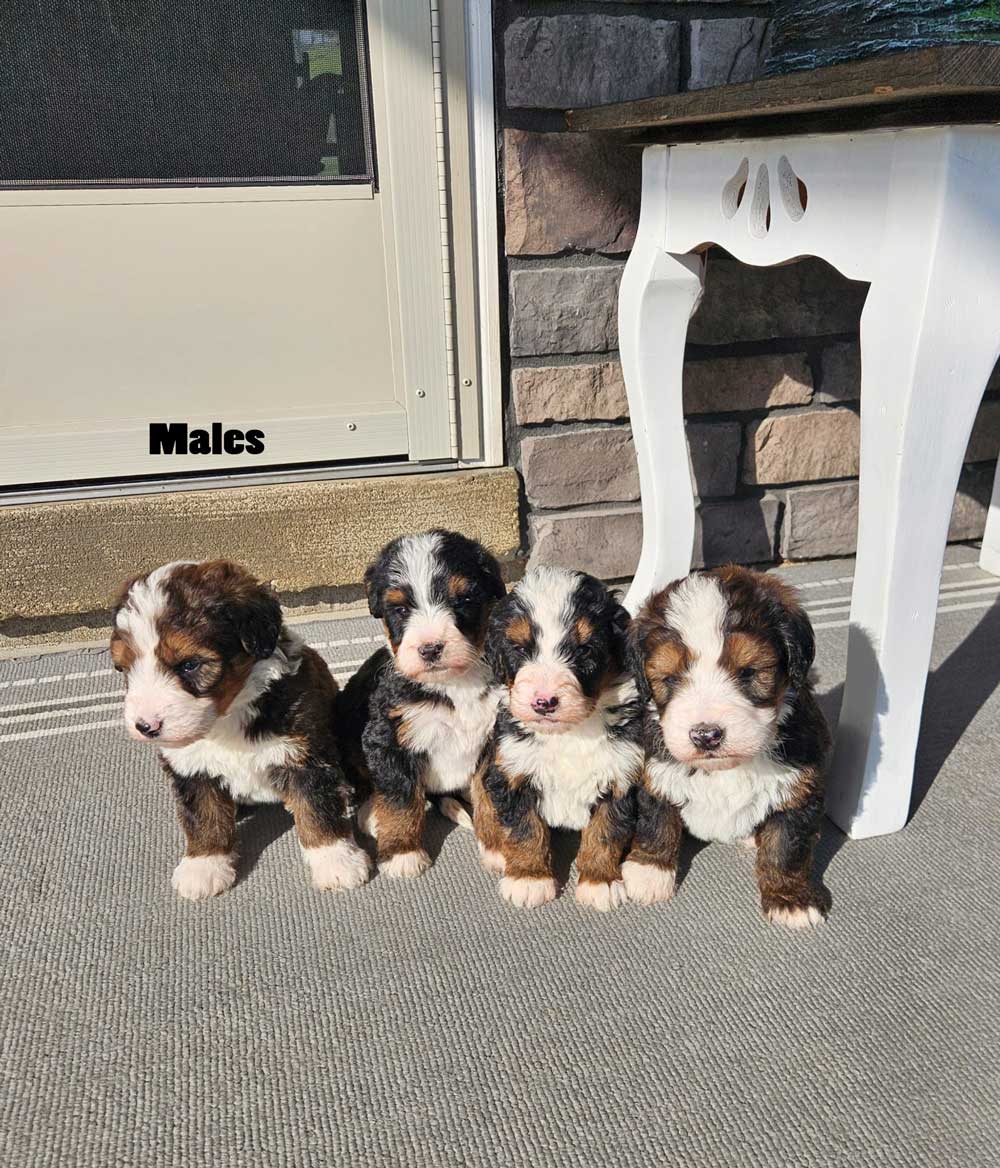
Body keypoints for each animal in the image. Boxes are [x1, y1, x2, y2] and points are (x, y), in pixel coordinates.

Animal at [110, 559, 370, 900]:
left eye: (189, 665)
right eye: (123, 668)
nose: (145, 725)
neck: (226, 720)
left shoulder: (304, 756)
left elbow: (317, 809)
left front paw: (337, 861)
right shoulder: (191, 768)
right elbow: (203, 816)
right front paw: (204, 865)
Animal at [339, 530, 506, 877]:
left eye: (463, 601)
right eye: (401, 610)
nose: (430, 648)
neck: (453, 685)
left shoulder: (494, 737)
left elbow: (490, 796)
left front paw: (499, 847)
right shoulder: (388, 738)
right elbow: (400, 798)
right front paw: (403, 853)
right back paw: (372, 816)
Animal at [473, 566, 644, 911]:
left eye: (584, 650)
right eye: (520, 649)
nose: (544, 701)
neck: (570, 734)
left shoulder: (621, 774)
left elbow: (605, 832)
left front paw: (600, 882)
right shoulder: (512, 770)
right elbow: (524, 829)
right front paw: (528, 879)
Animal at [626, 565, 832, 928]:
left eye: (748, 672)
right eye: (670, 678)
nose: (706, 735)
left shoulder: (800, 785)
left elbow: (786, 847)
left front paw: (791, 899)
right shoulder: (656, 769)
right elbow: (656, 818)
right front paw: (649, 872)